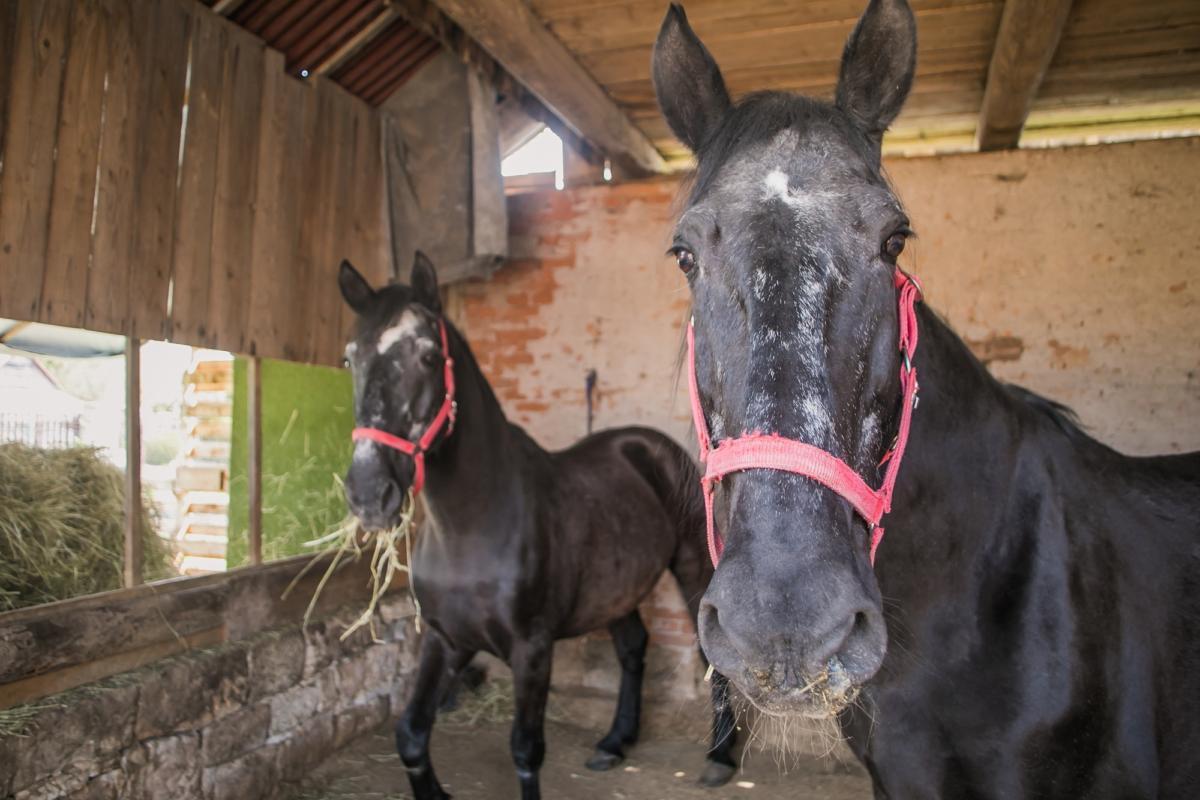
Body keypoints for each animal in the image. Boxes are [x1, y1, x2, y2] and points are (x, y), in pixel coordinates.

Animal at [333, 255, 734, 800]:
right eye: (350, 358)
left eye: (428, 355)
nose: (368, 492)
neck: (469, 527)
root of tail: (652, 445)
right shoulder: (445, 640)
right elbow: (411, 735)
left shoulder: (532, 649)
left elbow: (525, 751)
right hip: (615, 590)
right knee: (632, 647)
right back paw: (614, 742)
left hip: (692, 568)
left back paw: (720, 758)